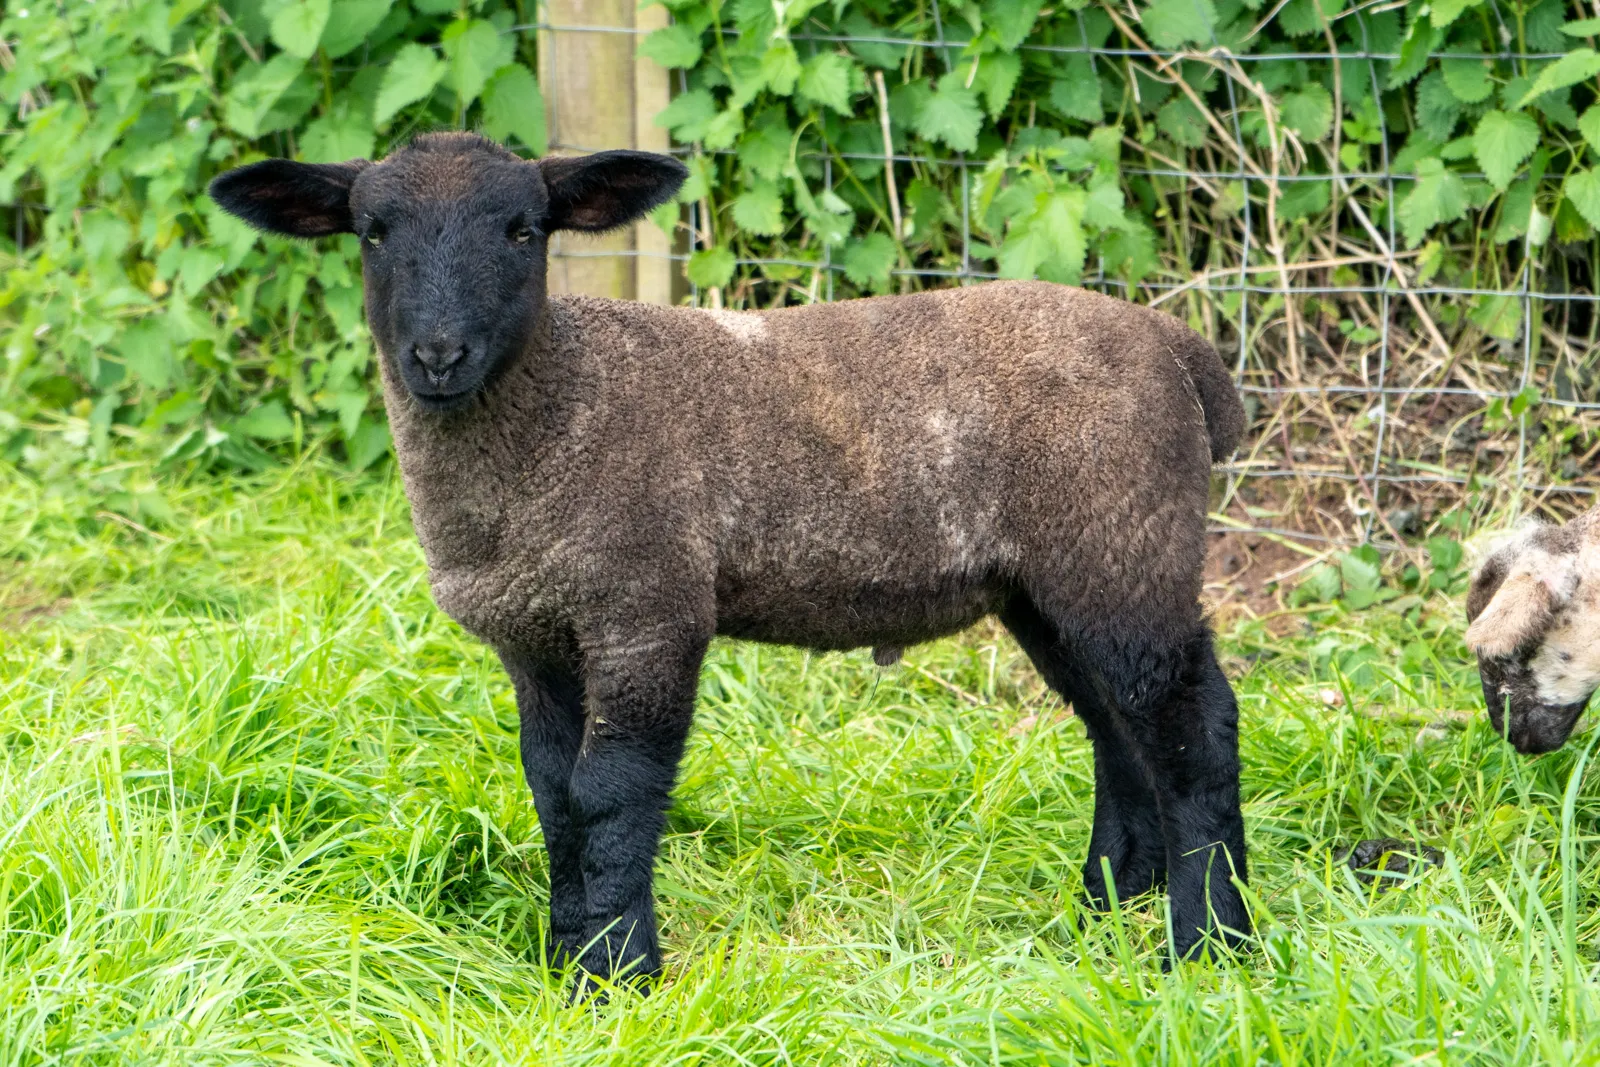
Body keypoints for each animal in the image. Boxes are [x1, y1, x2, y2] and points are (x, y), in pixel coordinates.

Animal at [209, 131, 1248, 991]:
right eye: (372, 232)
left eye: (522, 229)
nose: (436, 355)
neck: (556, 408)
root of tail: (1176, 347)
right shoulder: (535, 636)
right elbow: (552, 794)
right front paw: (563, 953)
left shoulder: (646, 606)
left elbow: (608, 797)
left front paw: (615, 975)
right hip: (1052, 577)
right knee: (1118, 729)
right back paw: (1106, 909)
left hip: (1123, 540)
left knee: (1192, 728)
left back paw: (1209, 942)